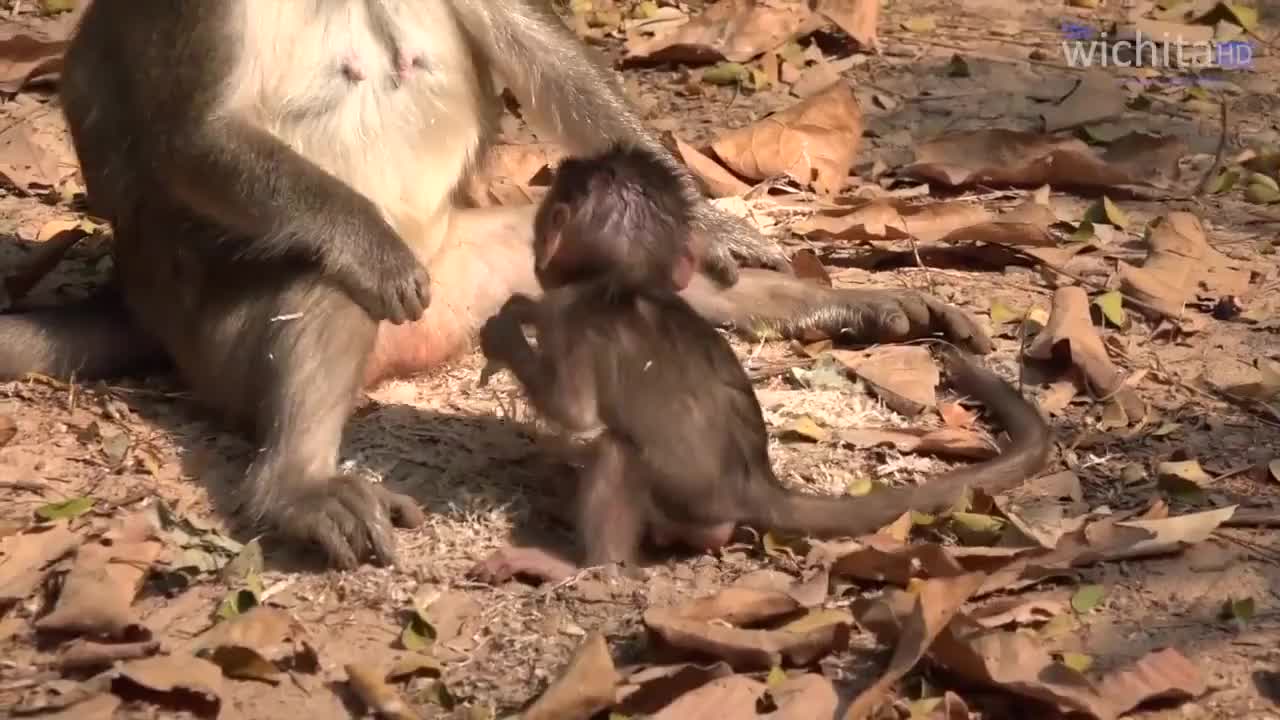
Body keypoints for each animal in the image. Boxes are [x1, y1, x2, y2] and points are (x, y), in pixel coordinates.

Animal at [0, 2, 993, 568]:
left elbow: (530, 39)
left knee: (606, 268)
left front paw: (716, 230)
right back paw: (301, 481)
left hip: (493, 265)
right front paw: (364, 245)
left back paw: (833, 306)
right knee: (332, 280)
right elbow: (190, 133)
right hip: (226, 334)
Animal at [471, 142, 1049, 579]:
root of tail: (757, 486)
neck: (627, 284)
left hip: (690, 507)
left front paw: (505, 331)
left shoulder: (578, 318)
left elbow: (575, 412)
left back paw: (584, 567)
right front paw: (520, 310)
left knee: (617, 453)